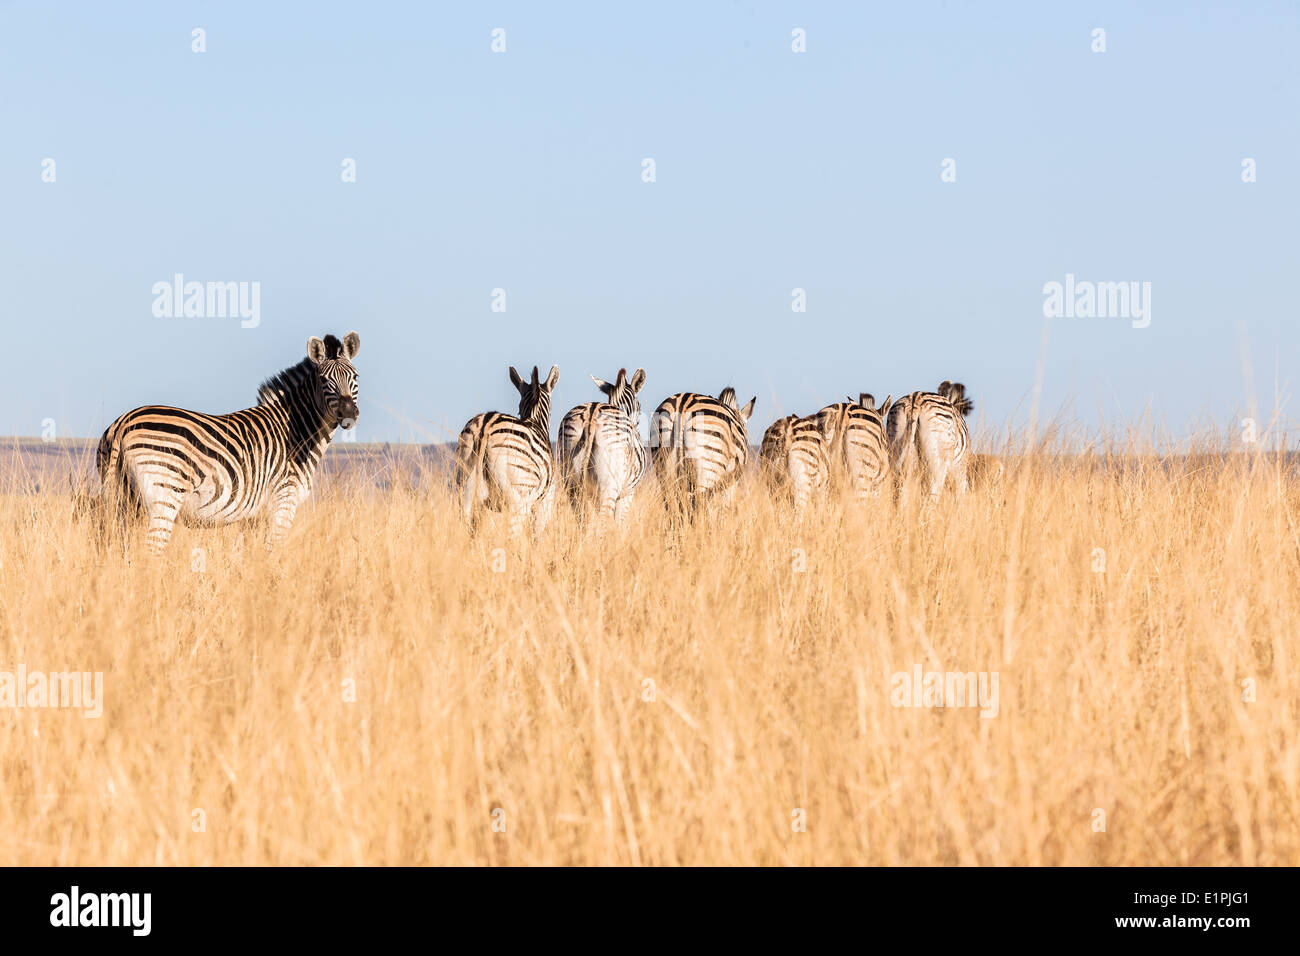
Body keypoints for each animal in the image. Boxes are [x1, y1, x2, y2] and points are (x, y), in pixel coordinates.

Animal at [95, 332, 361, 554]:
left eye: (355, 377)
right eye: (325, 380)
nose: (349, 413)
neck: (295, 430)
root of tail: (122, 424)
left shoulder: (255, 515)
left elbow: (251, 555)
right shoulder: (283, 501)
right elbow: (273, 552)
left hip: (126, 502)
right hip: (164, 495)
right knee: (152, 550)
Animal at [457, 364, 559, 535]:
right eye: (551, 409)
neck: (534, 420)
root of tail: (485, 426)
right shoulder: (545, 501)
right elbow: (536, 535)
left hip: (466, 492)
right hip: (517, 501)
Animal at [556, 369, 647, 528]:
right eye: (640, 409)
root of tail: (591, 415)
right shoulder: (628, 493)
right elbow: (620, 524)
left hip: (571, 483)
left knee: (583, 521)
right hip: (609, 485)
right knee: (603, 521)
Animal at [655, 387, 759, 515]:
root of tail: (682, 405)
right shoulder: (731, 482)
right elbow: (725, 508)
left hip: (665, 472)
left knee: (673, 508)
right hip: (707, 470)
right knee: (700, 507)